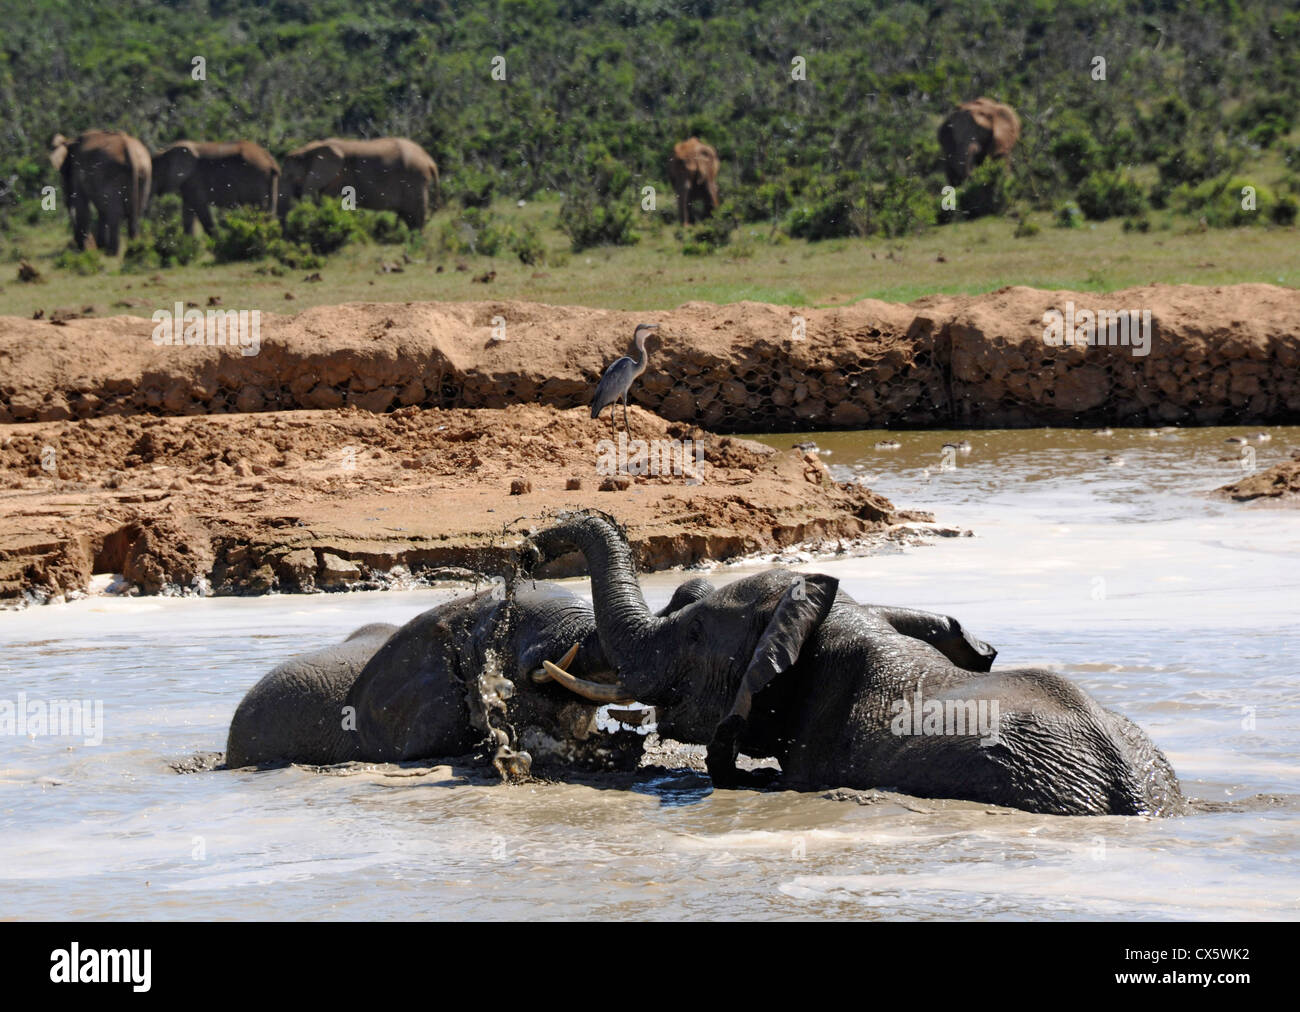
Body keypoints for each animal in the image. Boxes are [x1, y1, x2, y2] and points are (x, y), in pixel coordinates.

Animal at [154, 139, 282, 234]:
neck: (166, 150)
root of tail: (270, 161)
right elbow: (188, 212)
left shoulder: (194, 180)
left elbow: (200, 208)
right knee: (269, 212)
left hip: (255, 177)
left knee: (257, 209)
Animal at [276, 137, 439, 230]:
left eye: (290, 176)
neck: (308, 149)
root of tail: (429, 160)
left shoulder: (339, 179)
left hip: (415, 180)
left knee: (415, 218)